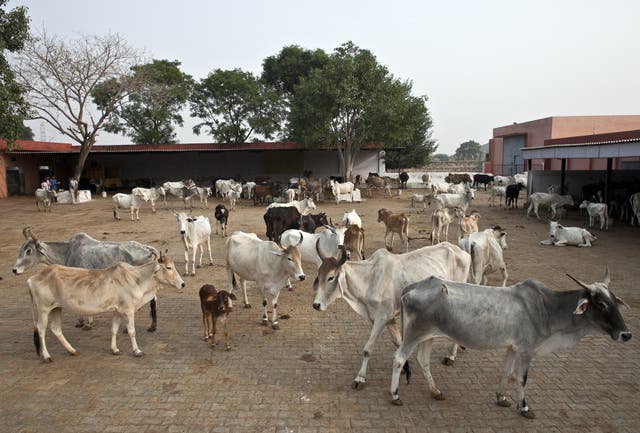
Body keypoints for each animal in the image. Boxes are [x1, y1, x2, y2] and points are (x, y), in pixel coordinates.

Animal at [12, 226, 160, 330]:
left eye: (29, 251)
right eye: (21, 249)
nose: (14, 270)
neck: (67, 252)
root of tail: (147, 249)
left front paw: (87, 324)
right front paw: (81, 322)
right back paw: (152, 326)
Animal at [29, 250, 185, 362]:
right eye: (169, 267)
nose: (182, 284)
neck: (136, 278)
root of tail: (33, 277)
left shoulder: (117, 311)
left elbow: (114, 329)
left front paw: (115, 349)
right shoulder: (128, 311)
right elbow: (132, 331)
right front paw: (137, 351)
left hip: (56, 308)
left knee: (56, 329)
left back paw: (72, 350)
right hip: (43, 310)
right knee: (41, 329)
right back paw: (46, 356)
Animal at [312, 243, 472, 388]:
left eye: (331, 277)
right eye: (319, 276)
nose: (316, 305)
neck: (369, 279)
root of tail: (459, 250)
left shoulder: (382, 317)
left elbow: (367, 349)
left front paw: (360, 378)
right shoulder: (386, 318)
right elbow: (398, 341)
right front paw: (406, 369)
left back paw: (451, 356)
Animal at [388, 270, 632, 418]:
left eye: (614, 301)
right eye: (601, 304)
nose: (626, 334)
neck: (547, 307)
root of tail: (412, 287)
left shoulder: (513, 348)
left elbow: (506, 372)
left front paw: (501, 397)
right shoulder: (526, 350)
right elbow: (522, 378)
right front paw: (524, 407)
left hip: (427, 336)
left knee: (423, 360)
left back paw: (436, 391)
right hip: (413, 334)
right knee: (399, 359)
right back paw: (395, 395)